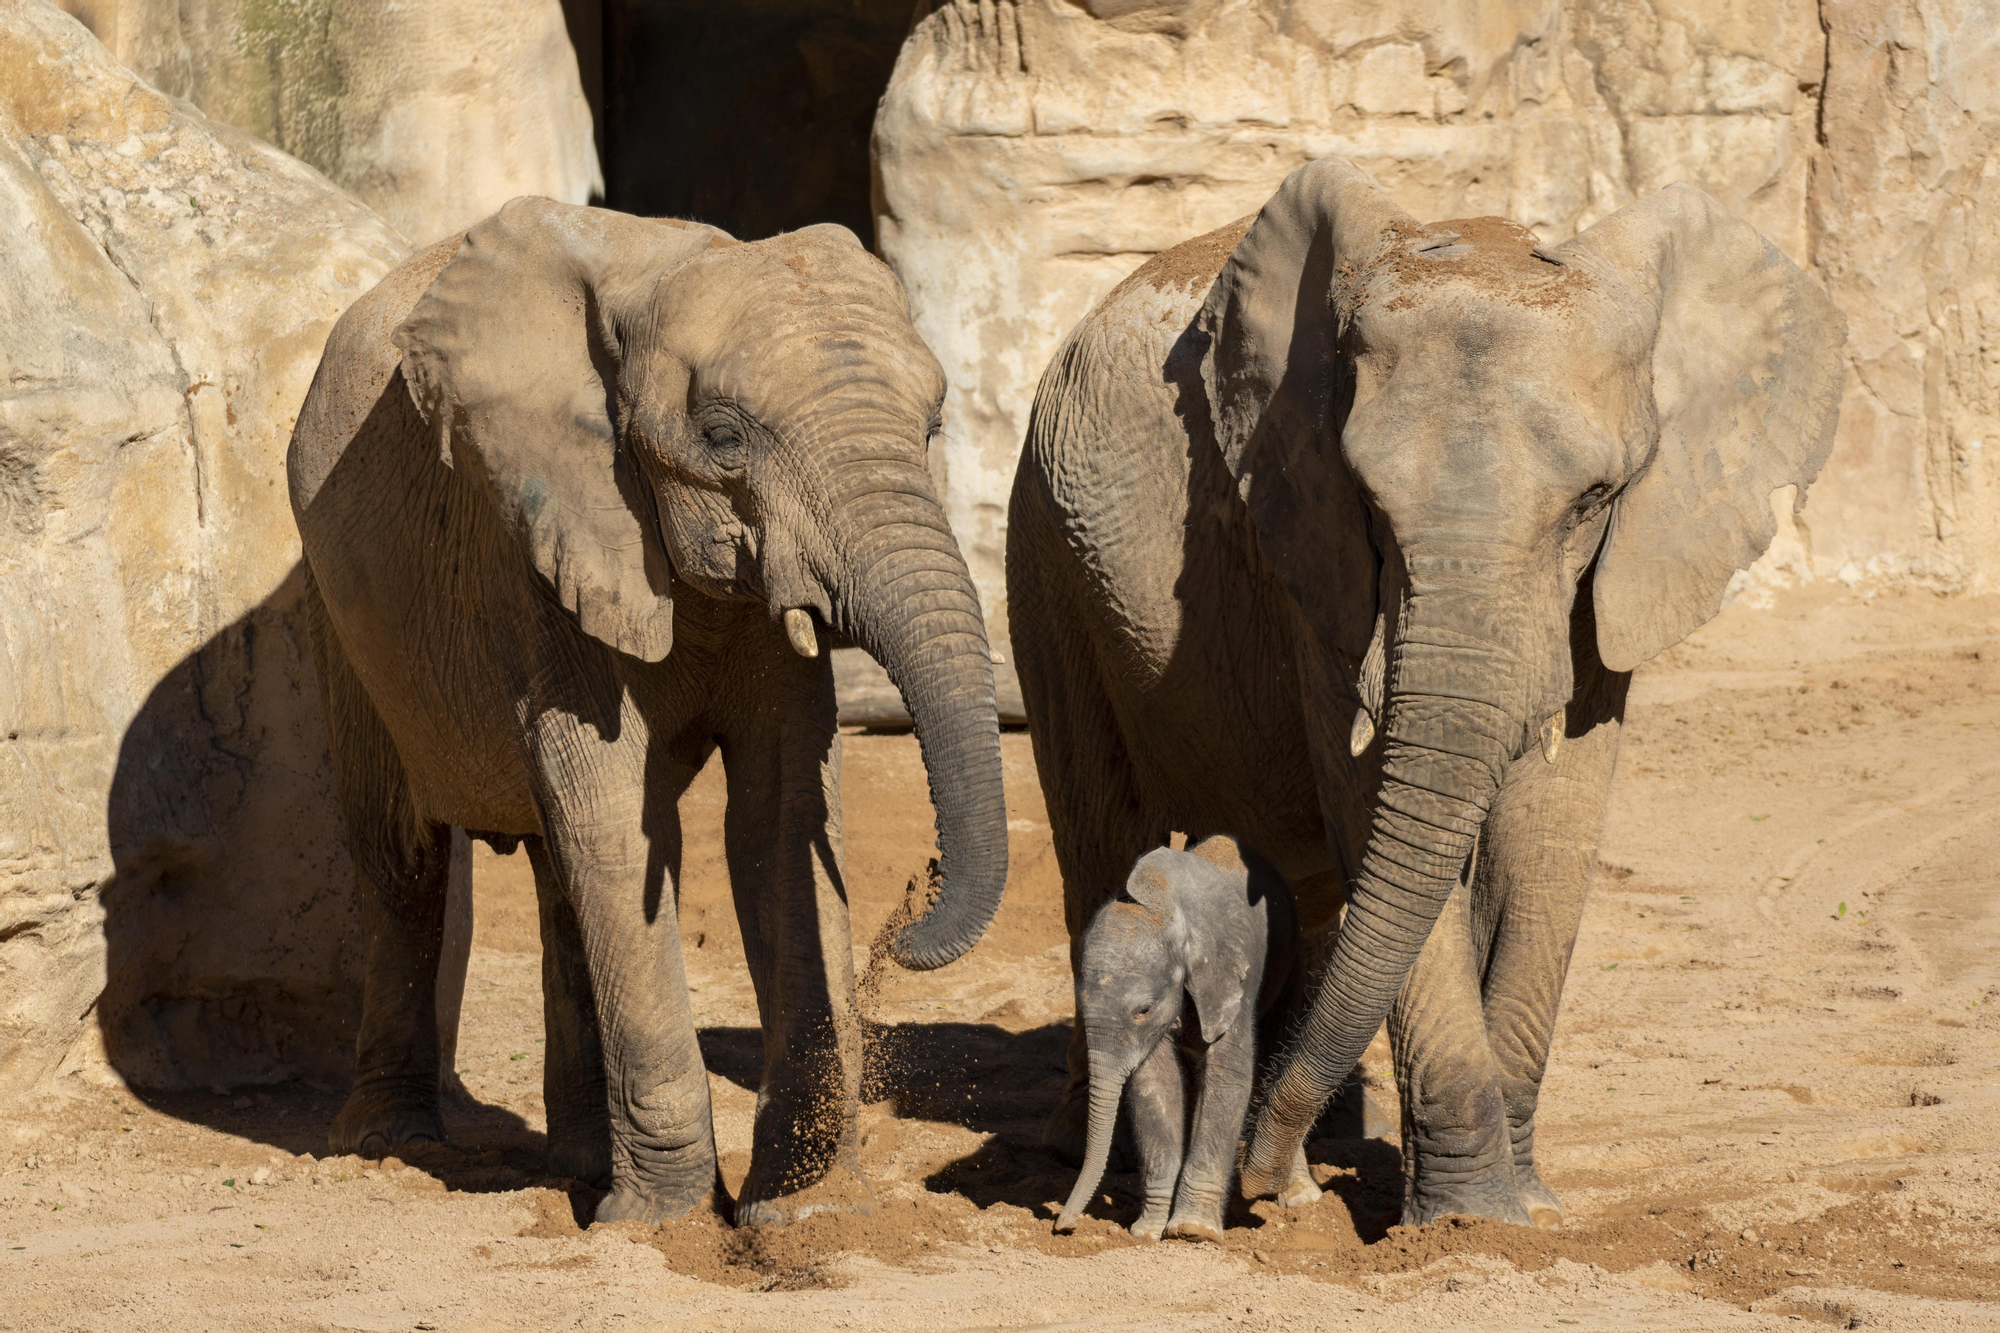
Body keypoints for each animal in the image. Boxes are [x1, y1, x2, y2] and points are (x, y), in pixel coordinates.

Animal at [290, 197, 1008, 1224]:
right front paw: (665, 1227)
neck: (658, 269)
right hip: (339, 611)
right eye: (721, 436)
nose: (907, 922)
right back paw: (392, 1144)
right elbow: (618, 823)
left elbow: (779, 816)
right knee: (403, 858)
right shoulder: (536, 541)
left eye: (935, 422)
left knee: (558, 876)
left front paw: (800, 1213)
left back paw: (582, 1161)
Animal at [1056, 836, 1320, 1240]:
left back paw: (1300, 1197)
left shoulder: (1230, 976)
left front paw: (1193, 1231)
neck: (1164, 906)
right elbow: (1155, 1085)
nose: (1062, 1226)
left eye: (1143, 1010)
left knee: (1273, 1058)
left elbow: (1229, 1077)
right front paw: (1149, 1232)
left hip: (1291, 961)